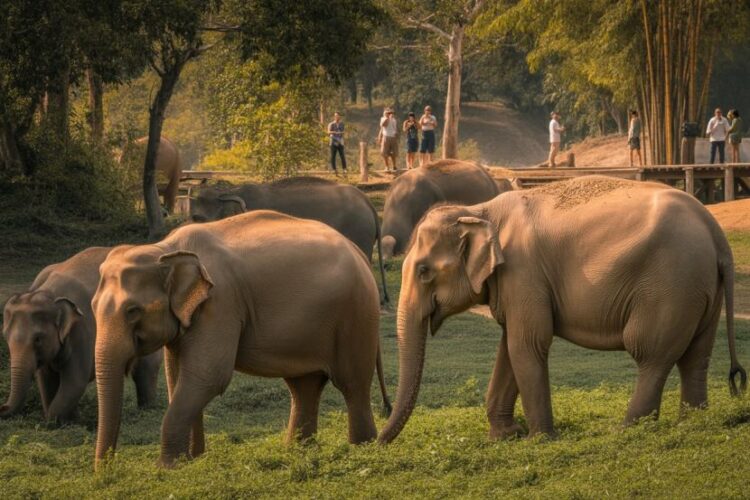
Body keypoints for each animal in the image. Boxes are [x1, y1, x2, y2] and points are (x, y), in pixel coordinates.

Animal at [1, 247, 162, 424]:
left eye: (38, 339)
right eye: (6, 337)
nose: (2, 407)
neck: (49, 294)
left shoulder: (83, 330)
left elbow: (75, 380)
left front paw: (55, 421)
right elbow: (46, 379)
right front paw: (70, 421)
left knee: (146, 368)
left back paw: (146, 411)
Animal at [92, 210, 390, 469]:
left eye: (133, 311)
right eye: (92, 306)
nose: (106, 469)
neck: (166, 249)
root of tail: (359, 252)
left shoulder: (220, 304)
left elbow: (207, 375)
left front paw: (168, 468)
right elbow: (178, 378)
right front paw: (193, 460)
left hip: (355, 315)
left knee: (352, 384)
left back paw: (360, 449)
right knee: (304, 386)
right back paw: (298, 451)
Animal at [378, 176, 746, 444]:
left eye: (424, 271)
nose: (379, 442)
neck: (481, 211)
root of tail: (717, 236)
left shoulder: (523, 272)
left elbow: (527, 344)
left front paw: (540, 439)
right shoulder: (514, 283)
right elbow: (510, 346)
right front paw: (505, 436)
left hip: (669, 285)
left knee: (651, 354)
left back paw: (627, 430)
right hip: (700, 289)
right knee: (695, 356)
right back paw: (692, 424)